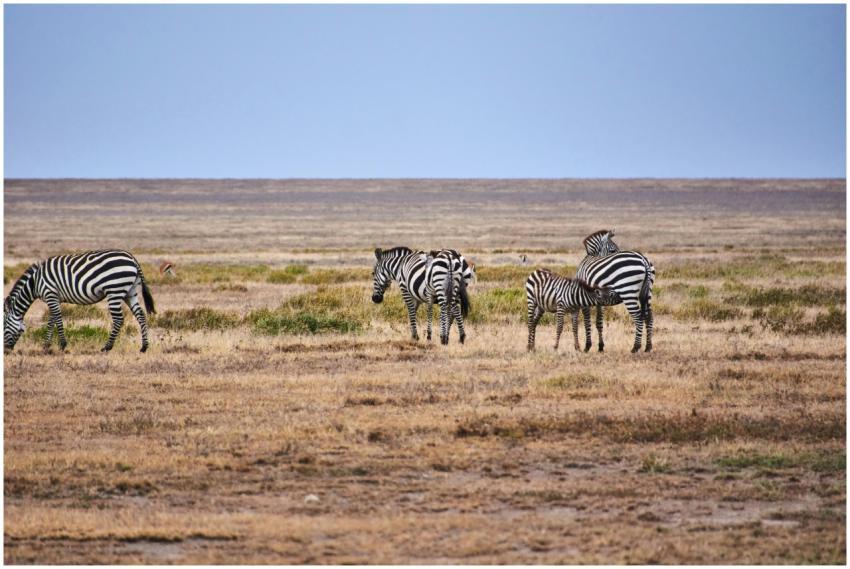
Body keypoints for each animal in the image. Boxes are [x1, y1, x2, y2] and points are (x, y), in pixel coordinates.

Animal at [4, 250, 156, 353]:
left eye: (4, 325)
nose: (6, 350)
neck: (35, 283)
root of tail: (132, 258)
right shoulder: (54, 298)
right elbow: (52, 320)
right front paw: (46, 345)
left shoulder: (50, 294)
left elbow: (57, 319)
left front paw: (62, 345)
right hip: (130, 292)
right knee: (141, 315)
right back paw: (144, 347)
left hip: (114, 290)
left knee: (119, 319)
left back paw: (107, 347)